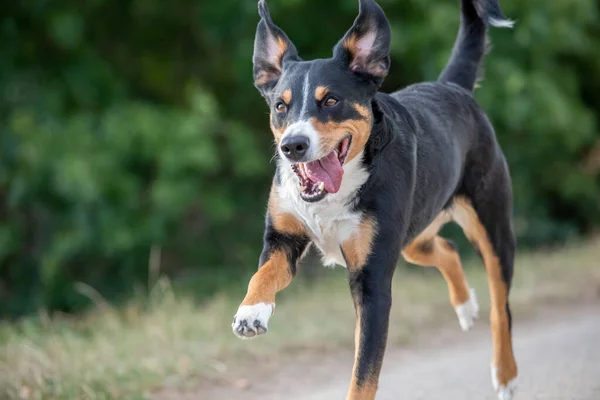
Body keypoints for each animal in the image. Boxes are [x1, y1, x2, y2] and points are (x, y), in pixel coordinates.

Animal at [232, 1, 516, 398]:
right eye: (280, 106)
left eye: (331, 100)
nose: (293, 146)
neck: (333, 197)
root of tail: (451, 87)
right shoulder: (283, 239)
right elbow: (263, 274)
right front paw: (250, 312)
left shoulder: (373, 282)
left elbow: (363, 373)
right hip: (415, 235)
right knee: (446, 250)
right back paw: (465, 307)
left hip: (492, 229)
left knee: (501, 308)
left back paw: (505, 375)